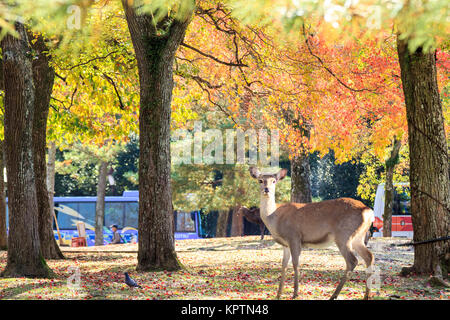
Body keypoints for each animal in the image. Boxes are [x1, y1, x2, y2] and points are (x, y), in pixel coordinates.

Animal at [250, 168, 376, 300]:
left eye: (274, 181)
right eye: (260, 180)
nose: (266, 189)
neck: (275, 219)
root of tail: (368, 211)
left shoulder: (294, 236)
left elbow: (295, 263)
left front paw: (295, 293)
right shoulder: (285, 244)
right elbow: (284, 264)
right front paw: (278, 294)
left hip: (344, 235)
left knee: (352, 261)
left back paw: (334, 295)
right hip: (358, 237)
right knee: (369, 257)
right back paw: (366, 295)